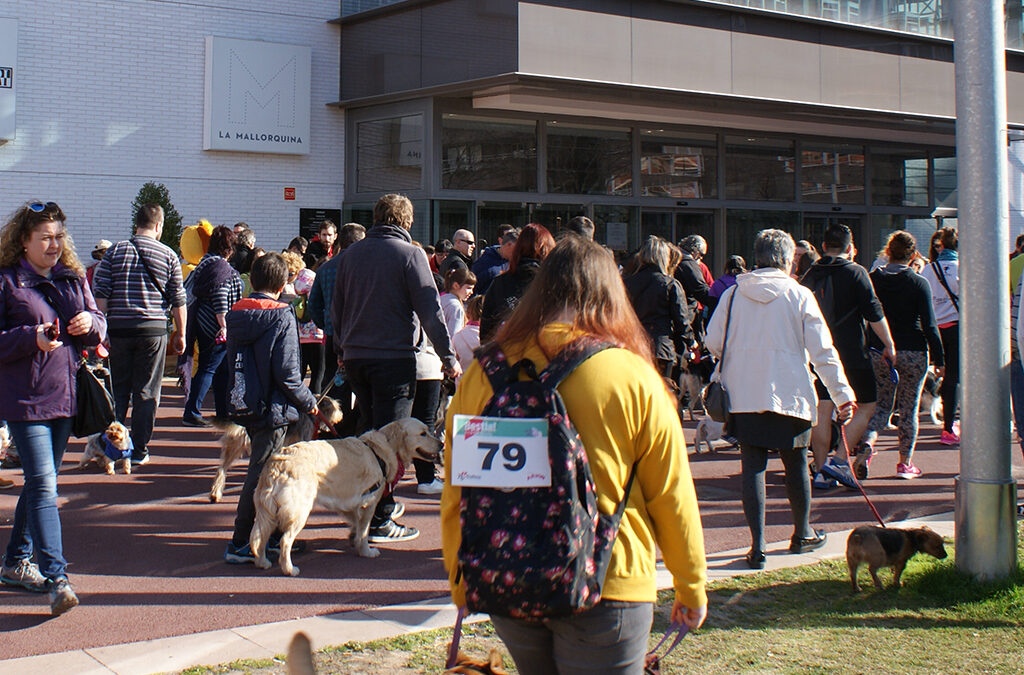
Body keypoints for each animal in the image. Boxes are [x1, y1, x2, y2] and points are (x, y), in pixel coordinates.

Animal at [250, 417, 440, 577]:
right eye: (423, 433)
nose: (441, 444)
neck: (383, 449)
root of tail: (276, 464)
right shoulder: (369, 502)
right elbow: (364, 531)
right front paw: (366, 551)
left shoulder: (348, 503)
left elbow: (356, 524)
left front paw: (353, 540)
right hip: (299, 511)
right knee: (284, 541)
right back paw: (289, 569)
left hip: (266, 511)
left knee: (258, 538)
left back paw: (262, 562)